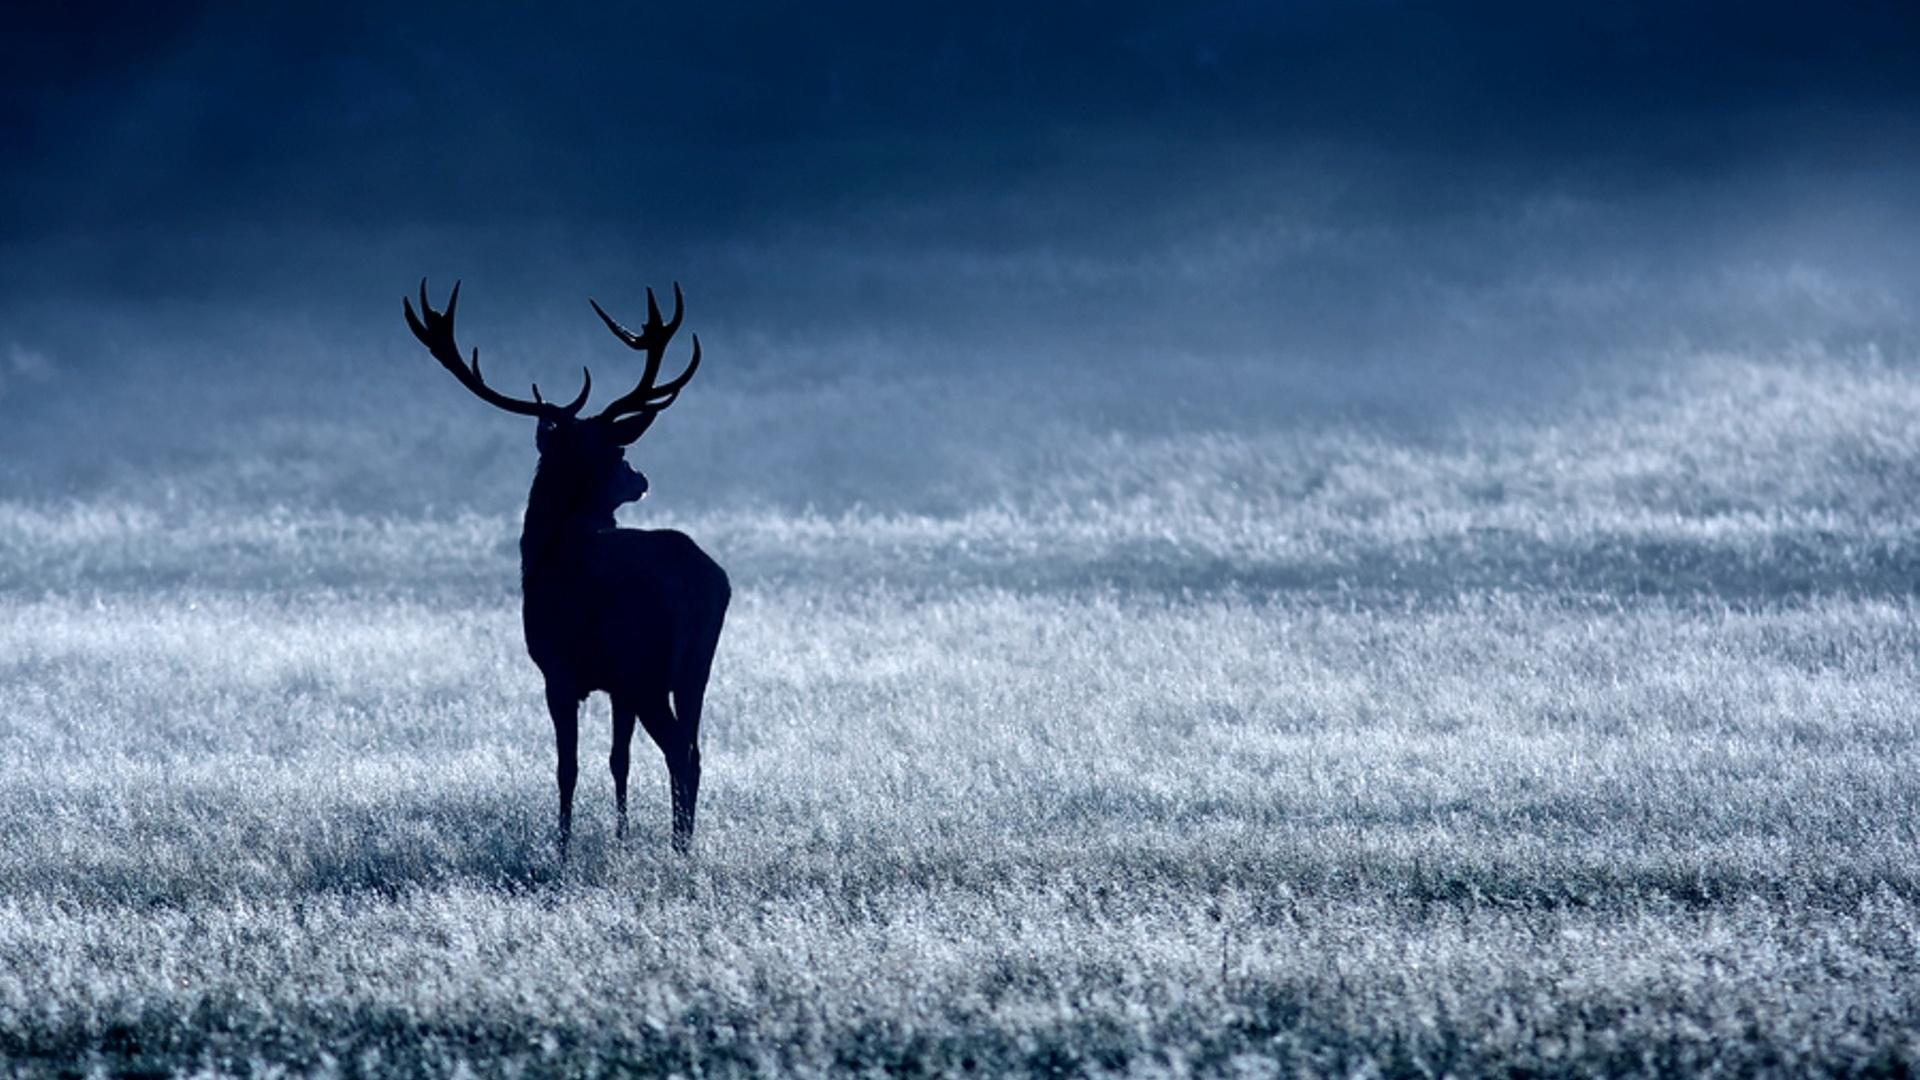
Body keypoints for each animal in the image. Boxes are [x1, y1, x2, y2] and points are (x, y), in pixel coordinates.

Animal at [403, 279, 730, 856]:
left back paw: (679, 847)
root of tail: (706, 580)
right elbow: (618, 760)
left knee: (679, 751)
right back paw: (683, 840)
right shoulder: (616, 685)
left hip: (646, 664)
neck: (544, 551)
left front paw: (561, 845)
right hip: (695, 666)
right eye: (618, 452)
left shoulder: (558, 669)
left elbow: (567, 766)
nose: (640, 478)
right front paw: (620, 835)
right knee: (694, 747)